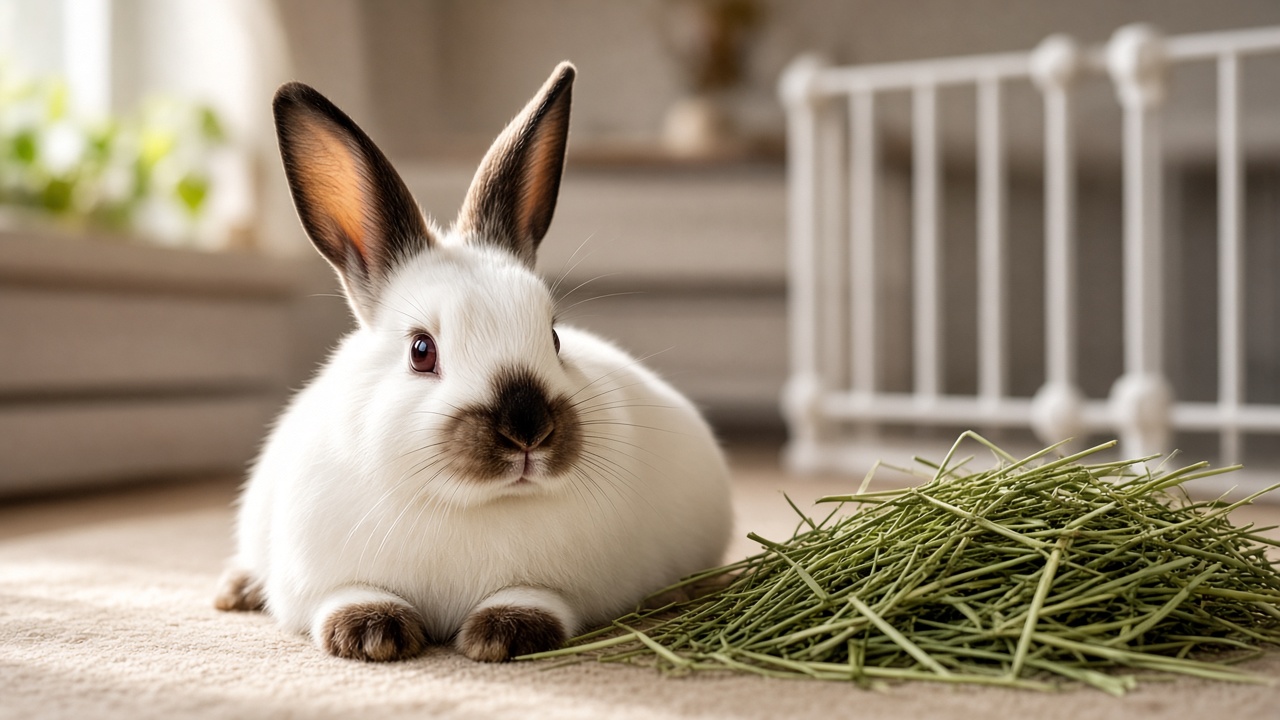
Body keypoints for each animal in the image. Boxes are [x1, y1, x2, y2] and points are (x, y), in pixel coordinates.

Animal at [213, 62, 734, 663]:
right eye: (421, 351)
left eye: (553, 336)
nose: (528, 429)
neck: (469, 505)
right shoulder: (319, 580)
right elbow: (346, 598)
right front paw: (369, 633)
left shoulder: (567, 590)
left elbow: (536, 601)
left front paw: (501, 634)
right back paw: (237, 590)